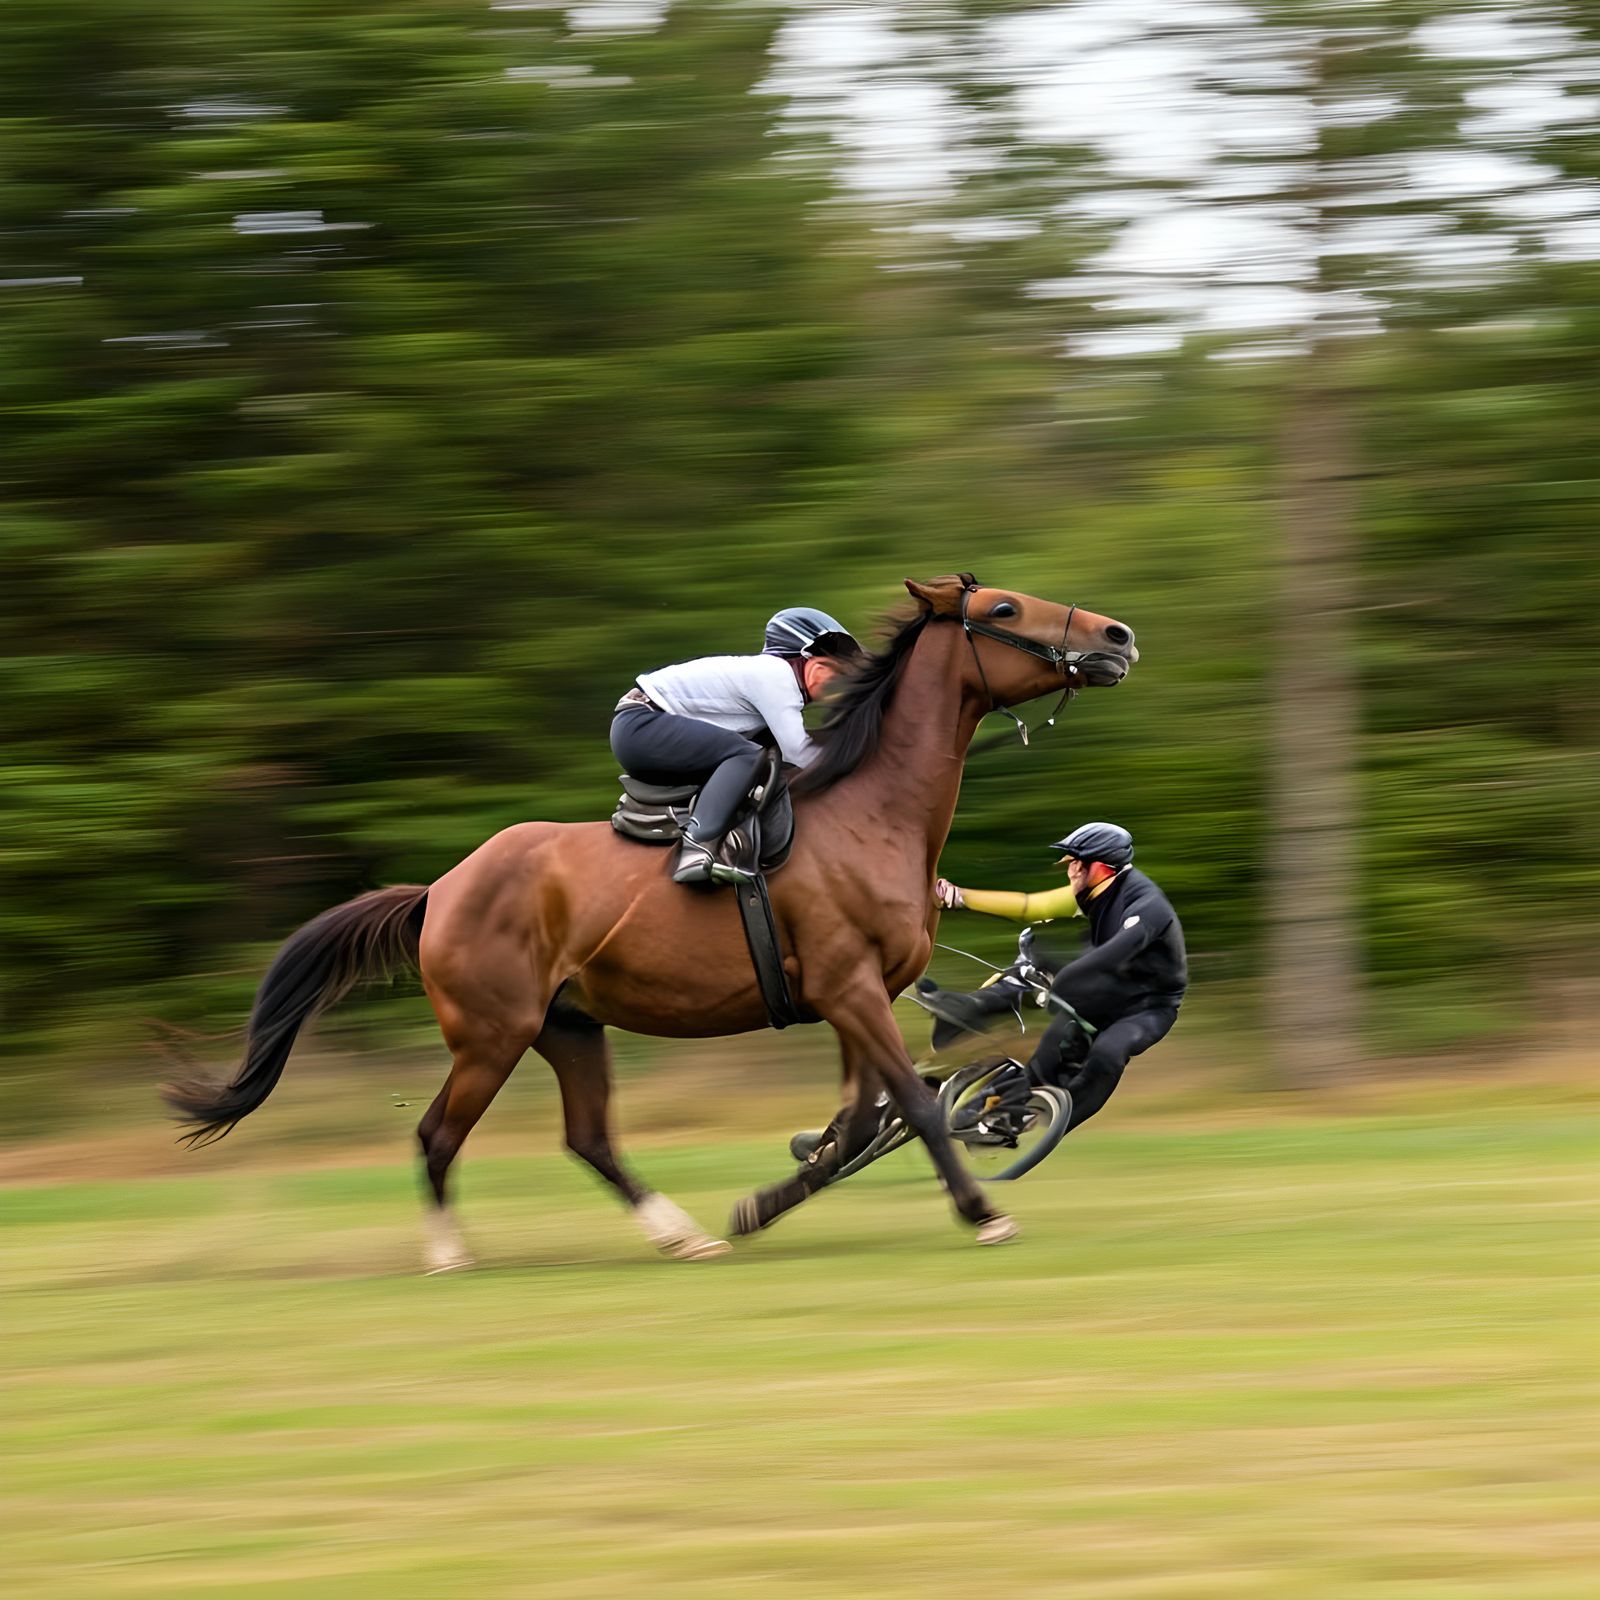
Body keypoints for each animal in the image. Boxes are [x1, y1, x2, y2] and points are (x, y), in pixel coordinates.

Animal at [165, 574, 1138, 1268]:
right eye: (1004, 607)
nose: (1117, 636)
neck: (876, 810)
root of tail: (440, 890)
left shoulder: (858, 996)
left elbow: (862, 1121)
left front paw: (763, 1202)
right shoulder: (850, 990)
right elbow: (914, 1109)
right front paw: (982, 1213)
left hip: (568, 1026)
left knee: (589, 1137)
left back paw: (682, 1233)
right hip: (492, 1034)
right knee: (439, 1134)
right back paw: (450, 1253)